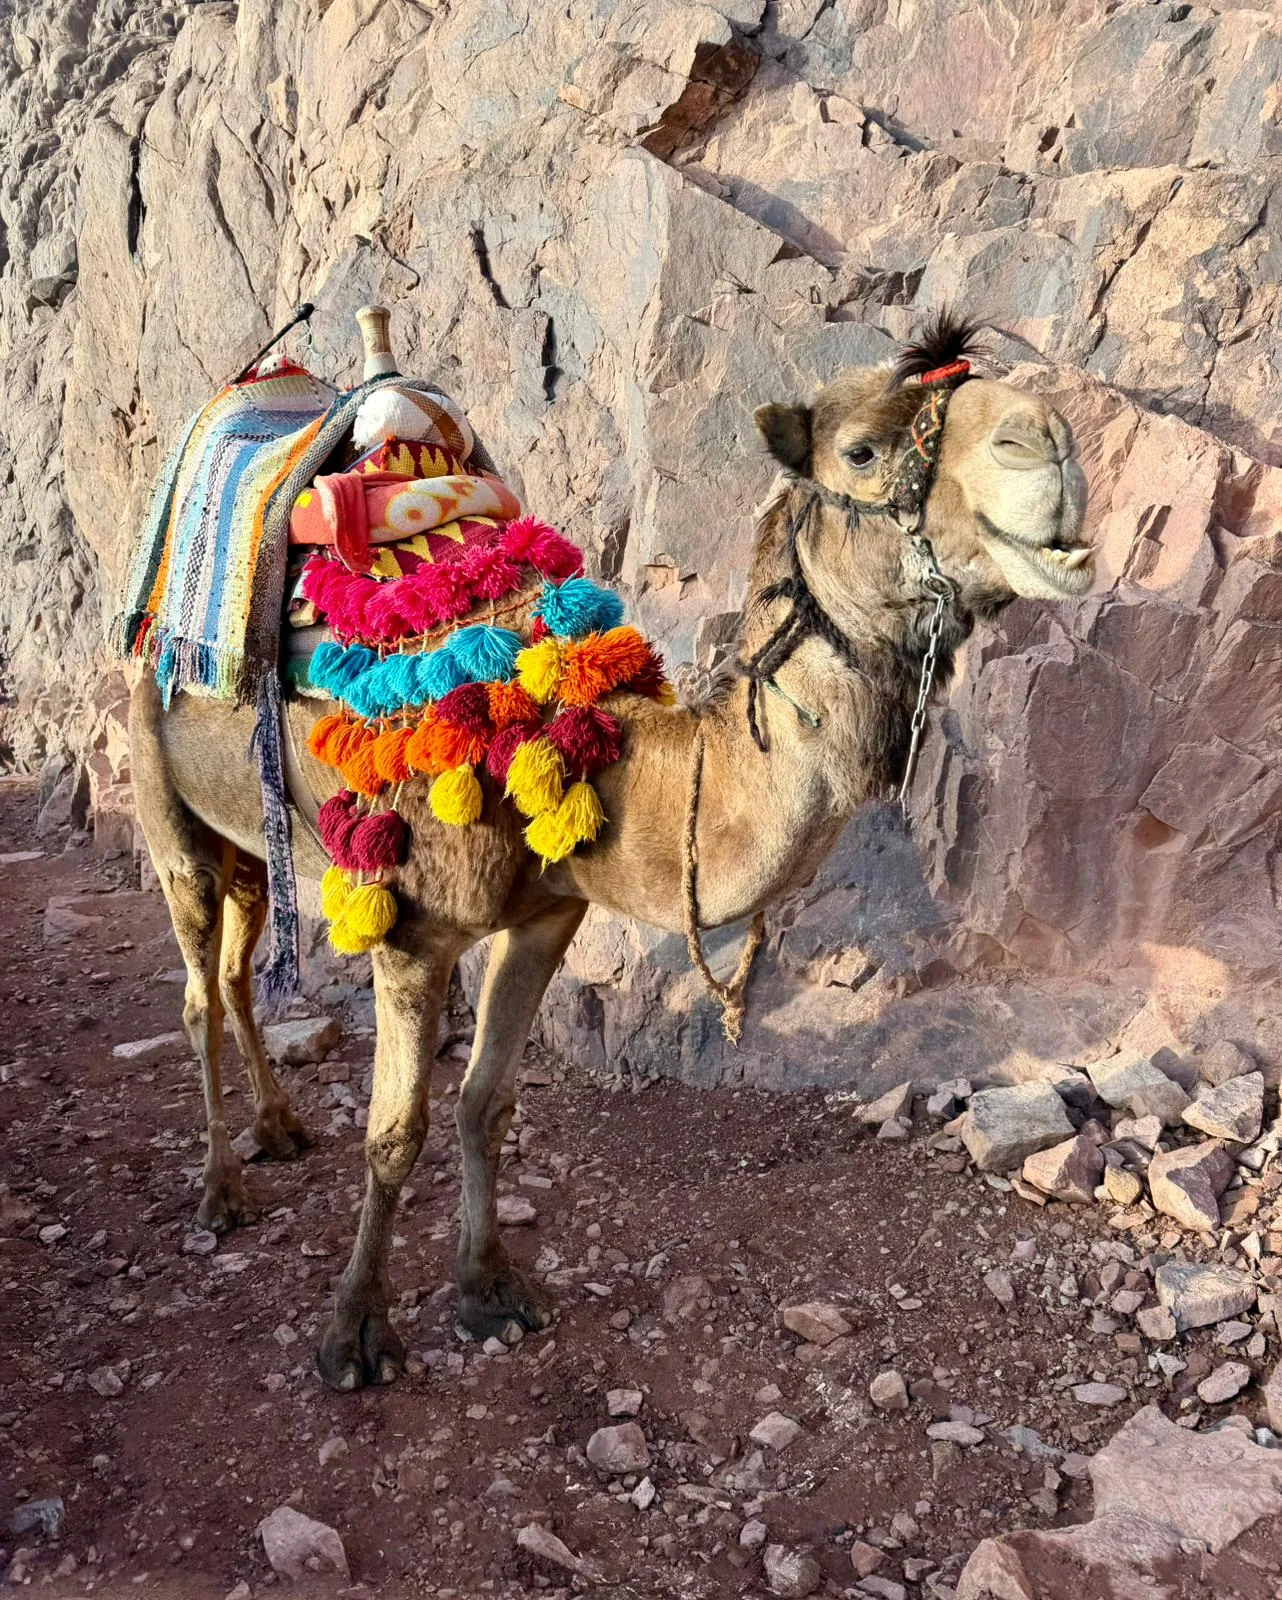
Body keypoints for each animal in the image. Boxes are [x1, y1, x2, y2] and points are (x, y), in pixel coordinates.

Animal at [128, 314, 1093, 1390]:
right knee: (197, 989)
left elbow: (486, 1103)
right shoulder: (412, 935)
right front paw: (355, 1337)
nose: (1047, 437)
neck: (574, 738)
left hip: (251, 842)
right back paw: (220, 1191)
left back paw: (280, 1128)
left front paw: (489, 1292)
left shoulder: (548, 912)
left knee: (236, 971)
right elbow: (393, 1133)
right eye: (862, 451)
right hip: (162, 801)